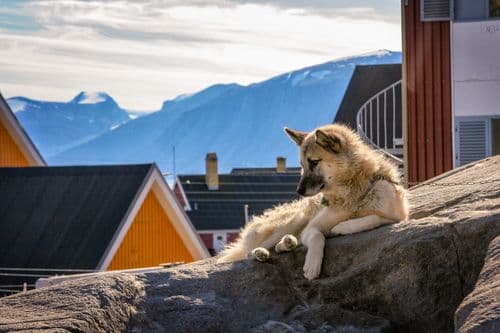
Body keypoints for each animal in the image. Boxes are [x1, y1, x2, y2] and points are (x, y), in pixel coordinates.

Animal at [217, 123, 408, 278]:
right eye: (302, 165)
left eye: (314, 162)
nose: (298, 191)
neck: (352, 194)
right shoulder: (310, 228)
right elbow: (317, 236)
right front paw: (312, 266)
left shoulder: (399, 216)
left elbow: (374, 218)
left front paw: (342, 227)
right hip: (292, 222)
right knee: (250, 252)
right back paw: (262, 252)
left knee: (279, 246)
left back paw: (287, 243)